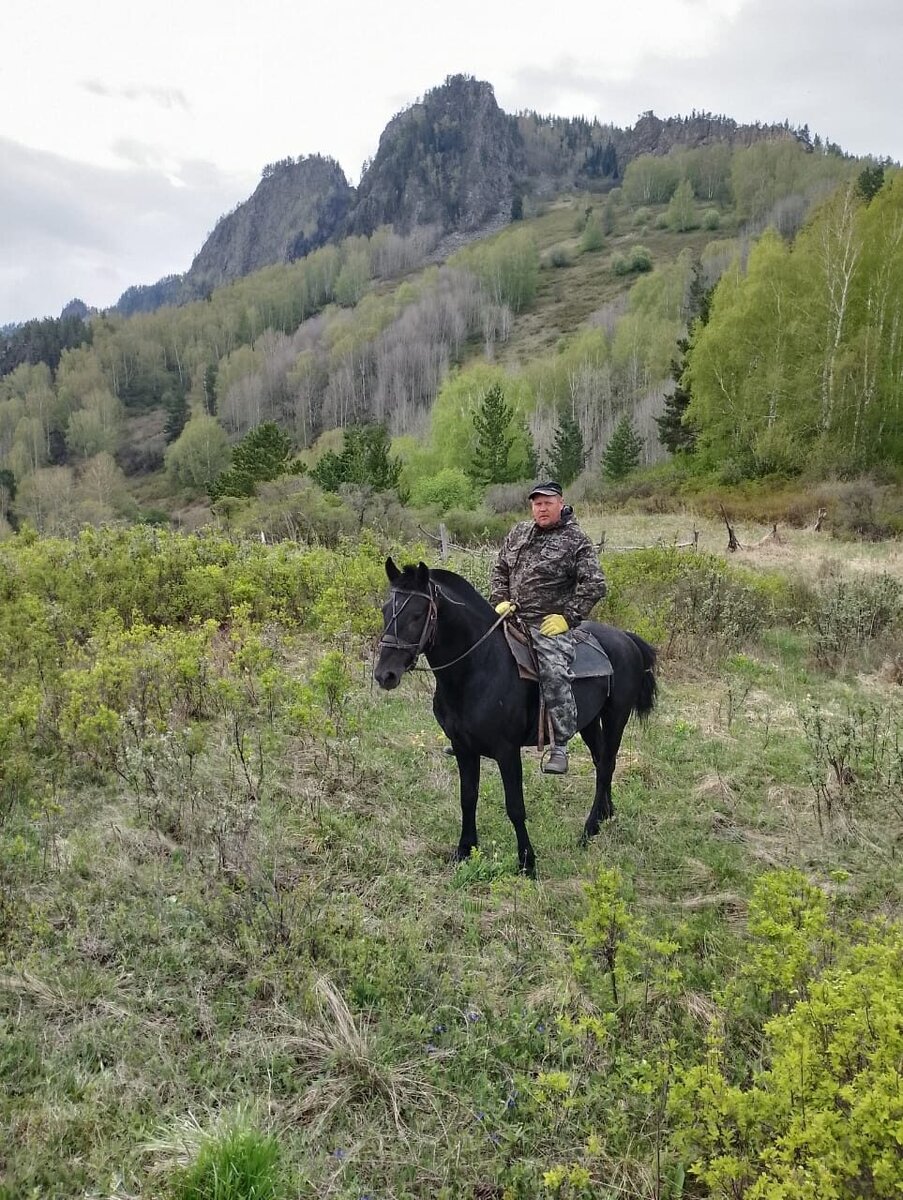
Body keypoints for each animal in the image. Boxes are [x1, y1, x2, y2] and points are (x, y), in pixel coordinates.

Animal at [374, 556, 658, 878]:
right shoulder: (463, 748)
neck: (478, 668)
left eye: (418, 614)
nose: (385, 674)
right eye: (385, 609)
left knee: (608, 763)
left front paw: (526, 861)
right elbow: (467, 797)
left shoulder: (507, 751)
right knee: (601, 764)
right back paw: (603, 817)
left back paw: (588, 830)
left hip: (615, 717)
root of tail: (625, 638)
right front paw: (464, 850)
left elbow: (515, 806)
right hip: (587, 722)